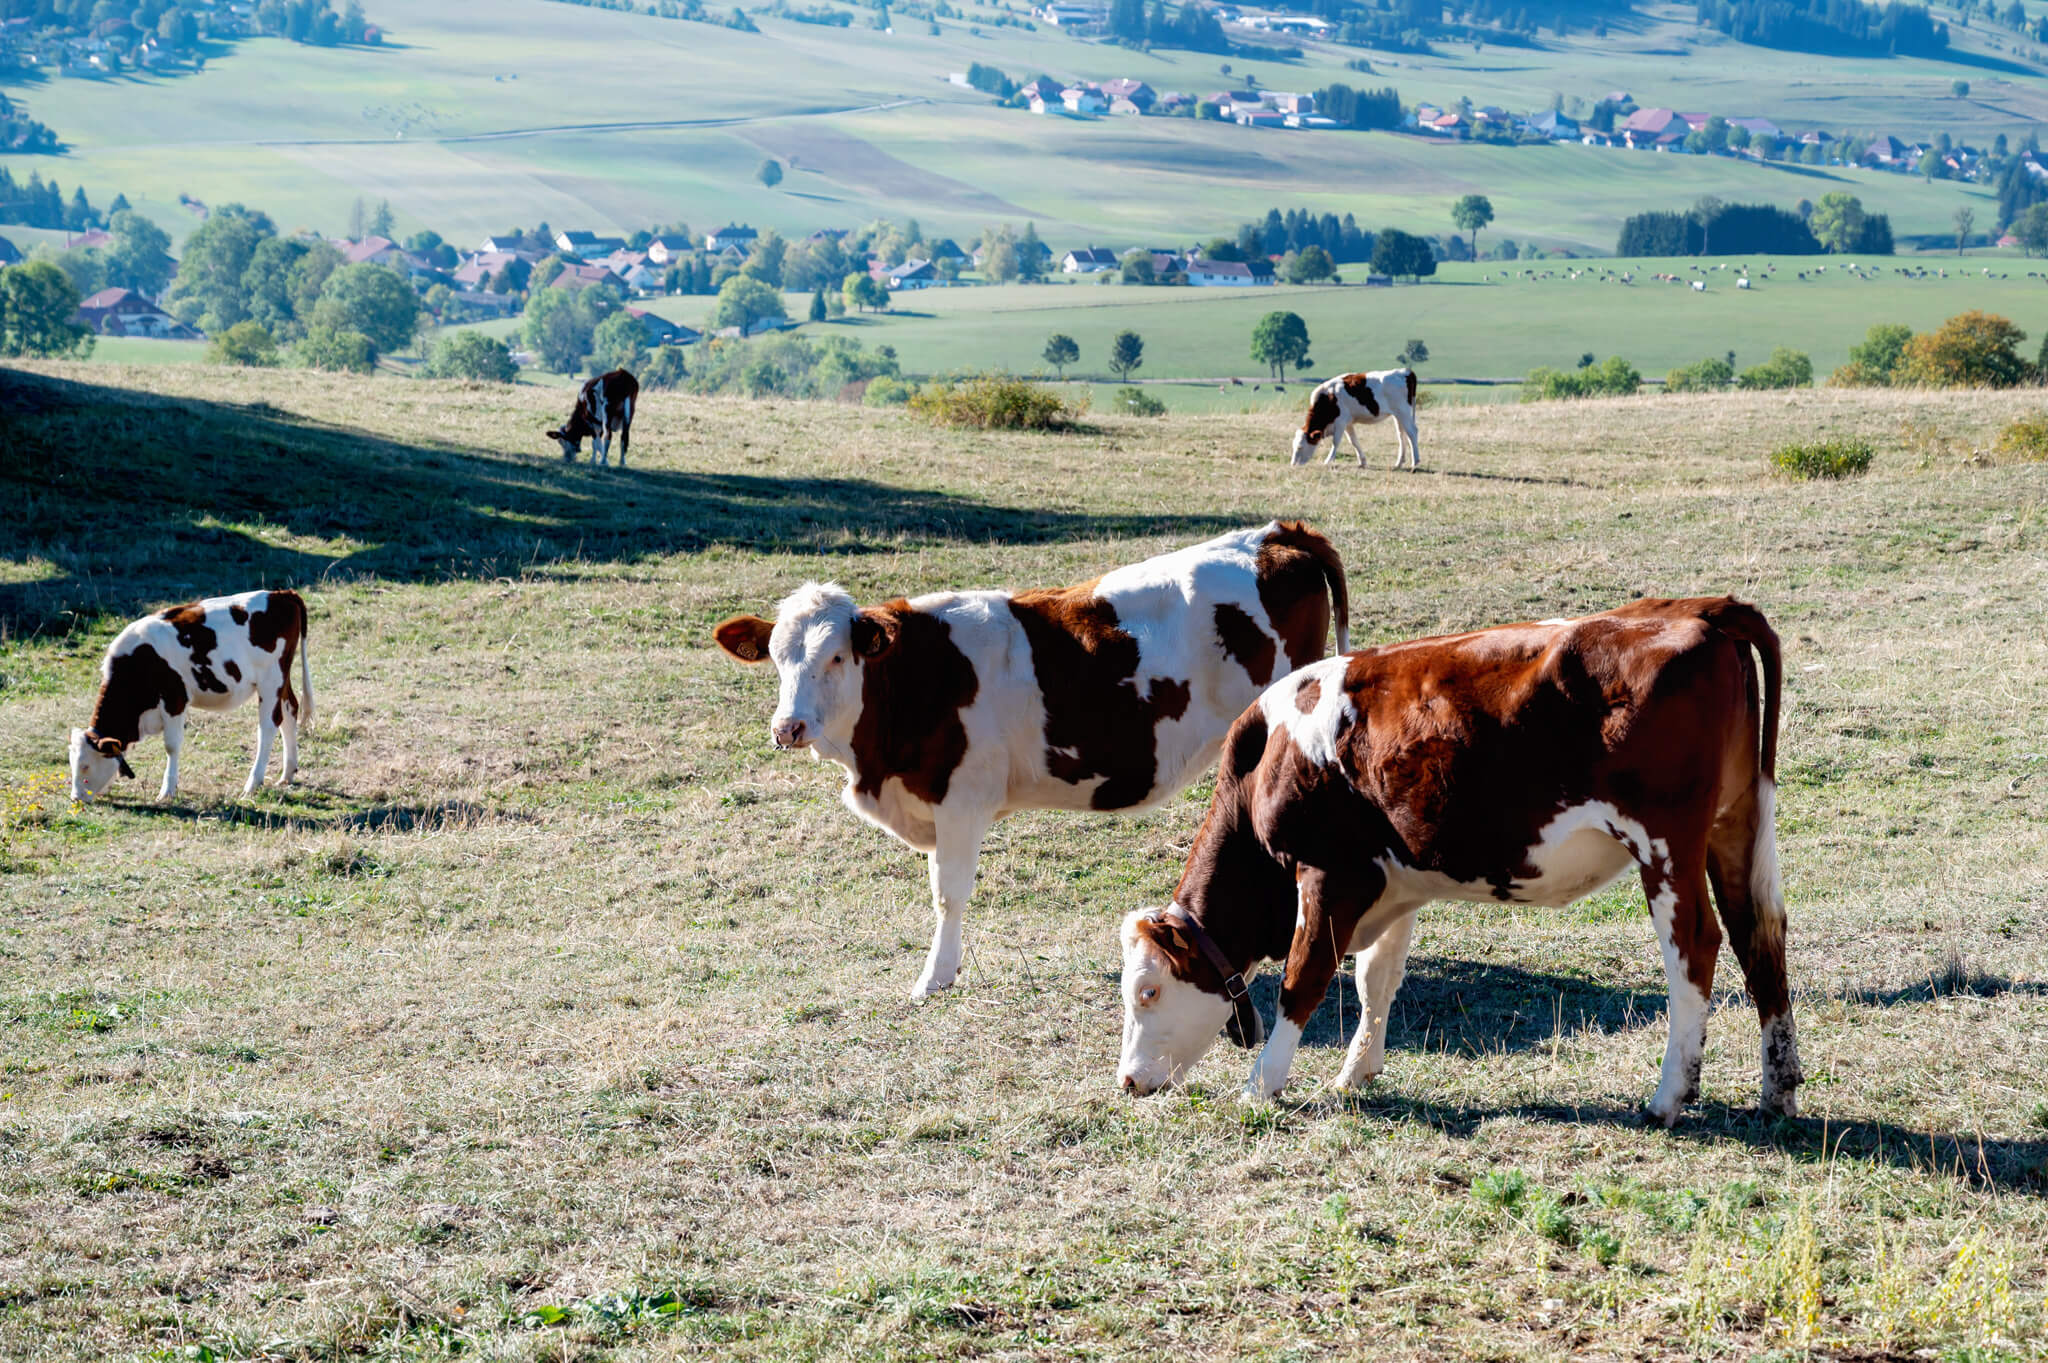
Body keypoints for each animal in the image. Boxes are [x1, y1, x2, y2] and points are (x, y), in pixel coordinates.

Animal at [69, 590, 313, 803]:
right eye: (72, 763)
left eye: (85, 766)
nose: (75, 798)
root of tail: (281, 594)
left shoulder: (175, 699)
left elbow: (171, 746)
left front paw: (167, 791)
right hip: (281, 679)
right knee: (290, 711)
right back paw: (287, 774)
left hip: (271, 679)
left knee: (268, 726)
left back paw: (252, 784)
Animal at [715, 522, 1351, 1000]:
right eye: (777, 659)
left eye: (838, 657)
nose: (788, 727)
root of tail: (1275, 533)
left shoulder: (961, 801)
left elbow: (947, 893)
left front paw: (934, 979)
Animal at [1115, 597, 1798, 1128]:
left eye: (1148, 991)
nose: (1127, 1082)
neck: (1267, 757)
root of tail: (1696, 610)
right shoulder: (1394, 884)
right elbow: (1375, 978)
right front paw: (1357, 1071)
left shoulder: (1329, 874)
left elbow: (1303, 978)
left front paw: (1262, 1084)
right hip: (1734, 824)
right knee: (1758, 935)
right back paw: (1779, 1090)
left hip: (1666, 845)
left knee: (1696, 946)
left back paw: (1668, 1097)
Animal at [1289, 369, 1421, 471]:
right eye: (1293, 446)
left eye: (1300, 447)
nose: (1293, 465)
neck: (1329, 399)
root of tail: (1405, 371)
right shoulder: (1348, 423)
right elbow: (1353, 441)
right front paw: (1362, 461)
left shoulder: (1341, 422)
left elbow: (1336, 442)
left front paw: (1328, 461)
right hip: (1398, 416)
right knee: (1401, 435)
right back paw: (1398, 463)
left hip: (1404, 413)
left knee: (1412, 432)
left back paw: (1415, 462)